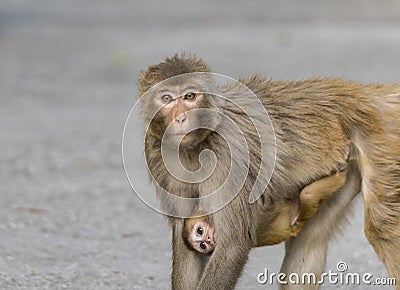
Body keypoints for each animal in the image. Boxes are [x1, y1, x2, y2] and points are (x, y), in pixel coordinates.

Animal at [183, 168, 348, 254]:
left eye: (200, 230)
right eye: (202, 246)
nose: (208, 240)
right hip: (300, 214)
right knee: (307, 195)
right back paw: (341, 176)